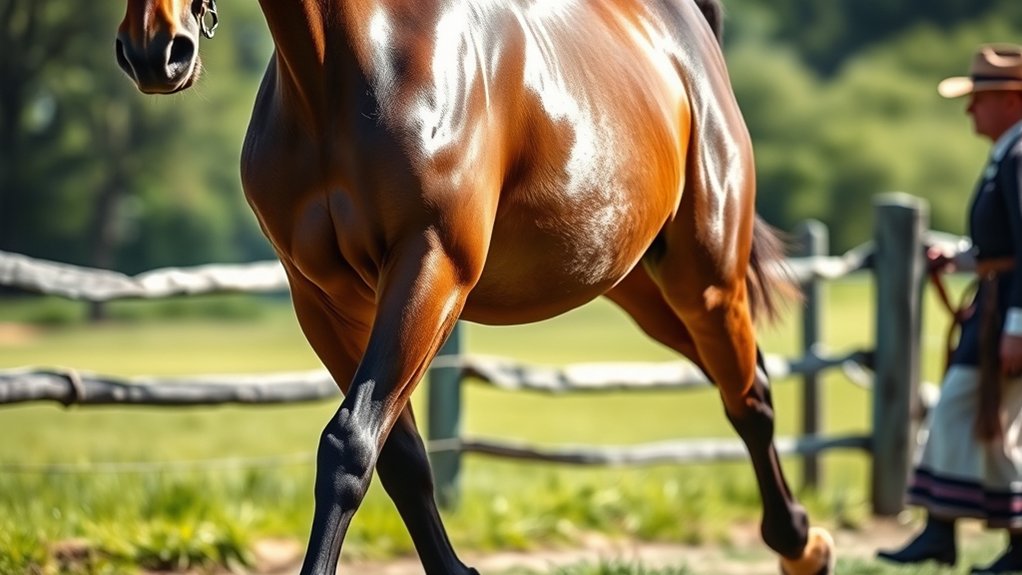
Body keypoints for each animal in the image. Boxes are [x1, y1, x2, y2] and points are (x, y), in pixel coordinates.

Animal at [115, 0, 834, 573]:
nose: (155, 49)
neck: (346, 66)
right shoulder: (324, 299)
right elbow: (398, 455)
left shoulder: (432, 266)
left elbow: (349, 445)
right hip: (639, 290)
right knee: (742, 378)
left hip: (703, 278)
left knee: (749, 397)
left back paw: (800, 543)